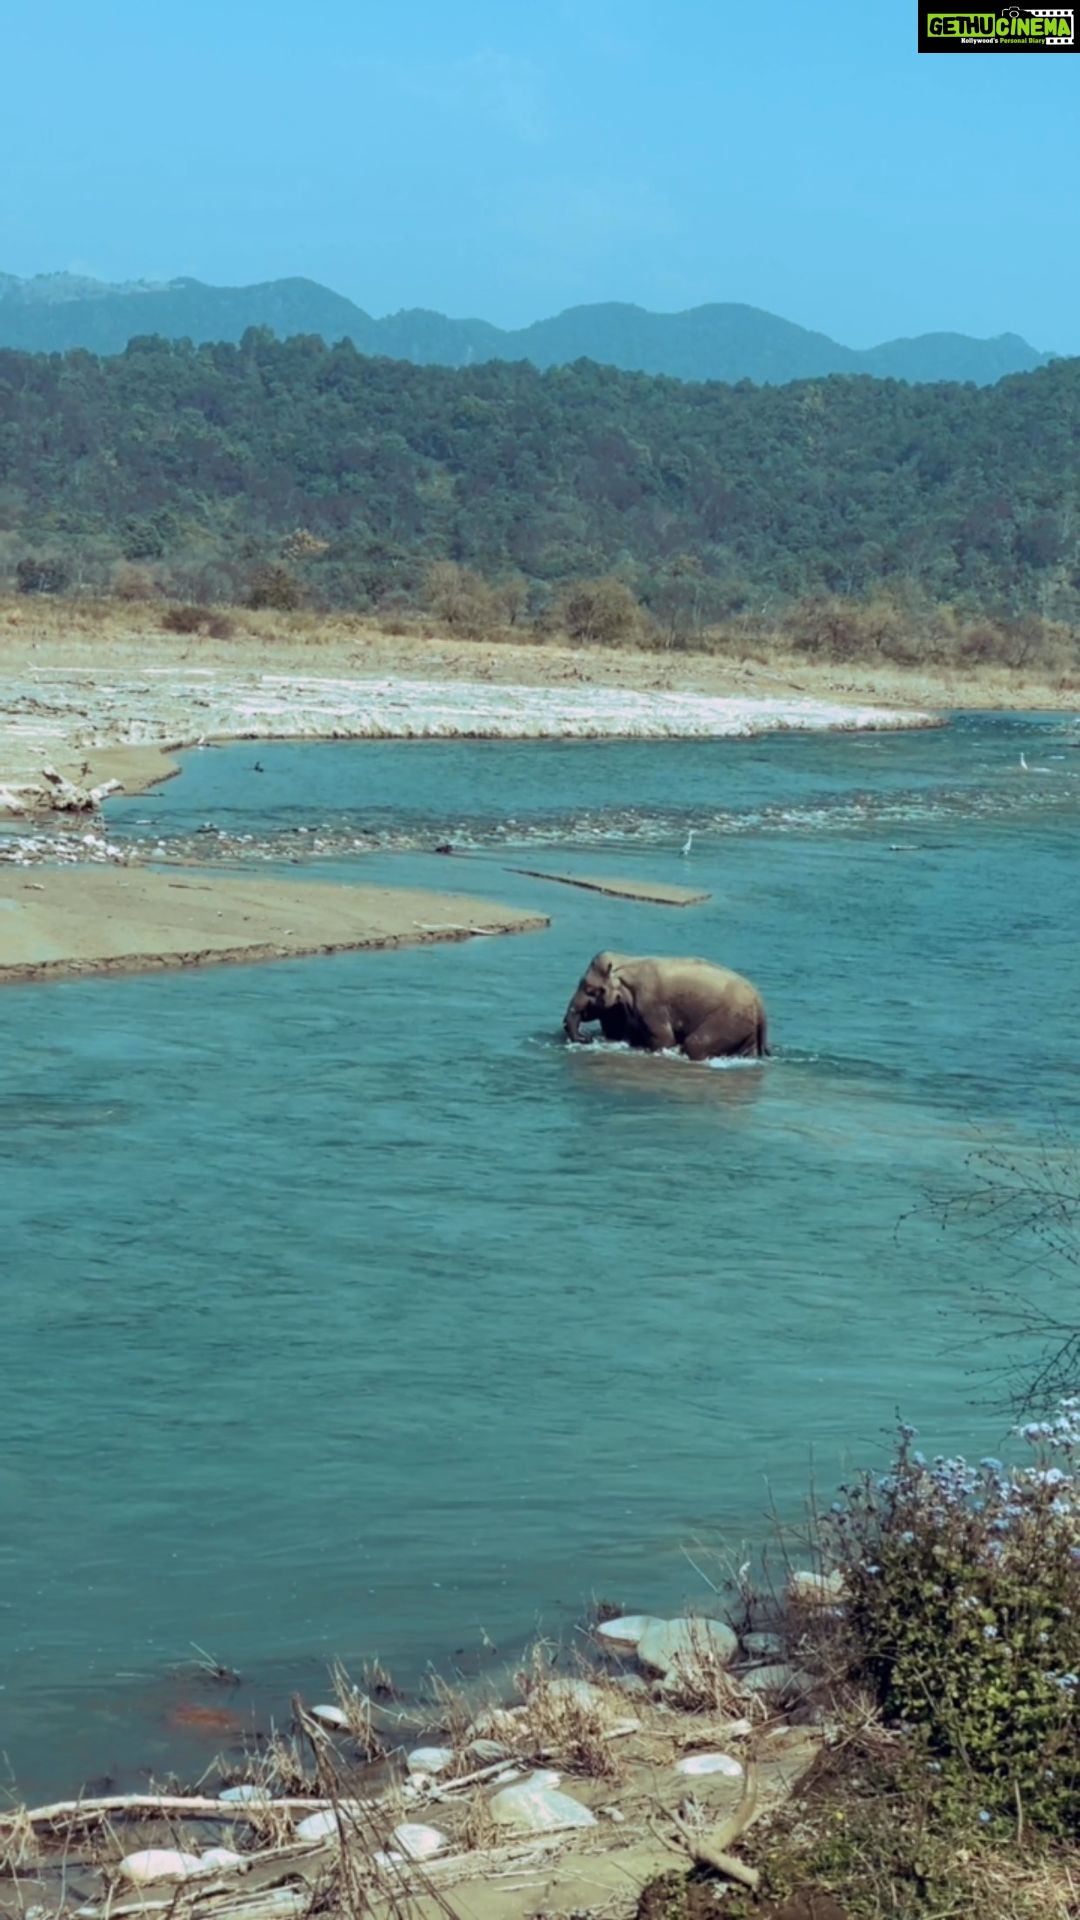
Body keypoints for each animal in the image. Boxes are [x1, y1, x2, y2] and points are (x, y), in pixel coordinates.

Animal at [562, 950, 769, 1061]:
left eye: (590, 989)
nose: (586, 1037)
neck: (626, 961)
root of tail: (761, 1005)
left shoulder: (651, 1004)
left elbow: (664, 1038)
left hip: (730, 1019)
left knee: (695, 1044)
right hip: (744, 1027)